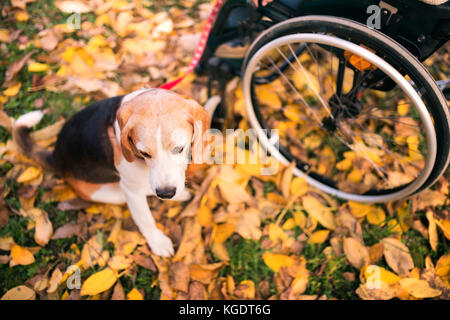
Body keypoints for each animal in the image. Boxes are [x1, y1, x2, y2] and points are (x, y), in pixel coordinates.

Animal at [13, 88, 210, 258]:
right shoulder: (132, 191)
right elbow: (145, 219)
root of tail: (55, 157)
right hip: (113, 193)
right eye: (144, 153)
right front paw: (158, 242)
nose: (166, 193)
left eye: (179, 148)